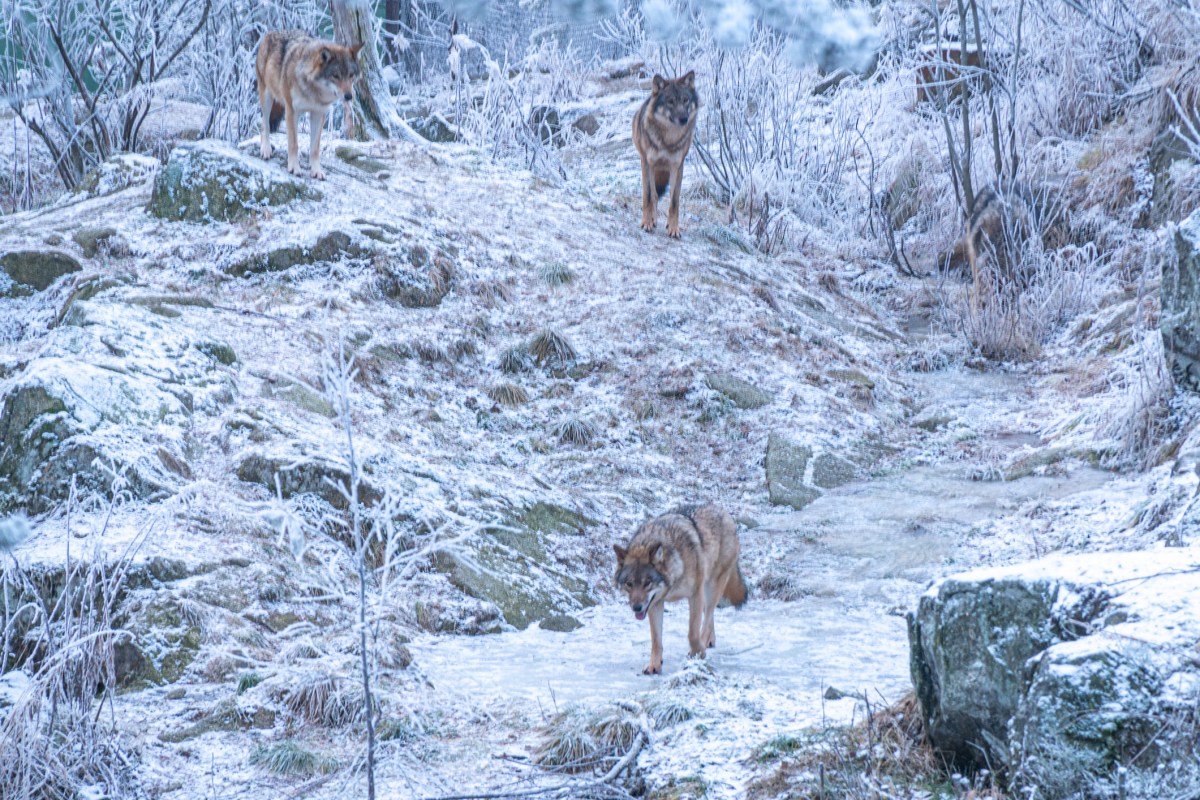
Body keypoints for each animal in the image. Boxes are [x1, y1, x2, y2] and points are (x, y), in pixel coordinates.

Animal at [256, 30, 362, 180]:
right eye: (335, 76)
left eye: (351, 75)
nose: (348, 96)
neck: (314, 92)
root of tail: (271, 33)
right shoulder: (292, 112)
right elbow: (294, 144)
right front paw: (294, 168)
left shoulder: (319, 113)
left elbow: (315, 148)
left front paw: (316, 171)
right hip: (267, 97)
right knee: (264, 124)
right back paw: (266, 150)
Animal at [613, 503, 747, 675]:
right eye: (629, 584)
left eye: (647, 583)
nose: (636, 608)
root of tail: (722, 511)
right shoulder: (655, 604)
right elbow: (656, 640)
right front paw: (654, 665)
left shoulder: (695, 595)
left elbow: (692, 633)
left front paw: (697, 653)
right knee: (709, 616)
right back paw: (710, 640)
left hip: (711, 587)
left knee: (708, 617)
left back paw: (704, 642)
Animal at [632, 72, 699, 239]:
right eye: (670, 101)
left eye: (685, 100)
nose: (684, 119)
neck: (668, 140)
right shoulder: (647, 162)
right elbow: (648, 196)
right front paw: (647, 223)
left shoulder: (678, 166)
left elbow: (674, 201)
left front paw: (674, 229)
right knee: (654, 195)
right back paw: (653, 220)